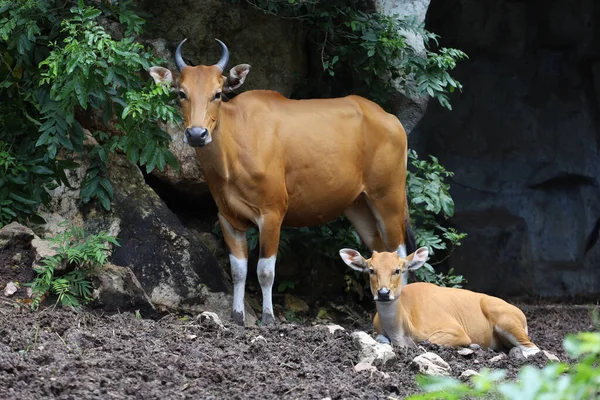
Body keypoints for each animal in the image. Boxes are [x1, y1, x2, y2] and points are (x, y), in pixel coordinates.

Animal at [150, 39, 412, 324]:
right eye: (181, 93)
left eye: (217, 93)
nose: (197, 134)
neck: (235, 150)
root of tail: (392, 120)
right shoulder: (228, 217)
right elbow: (238, 270)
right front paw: (237, 315)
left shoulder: (272, 213)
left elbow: (265, 270)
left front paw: (268, 316)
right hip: (358, 206)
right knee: (379, 252)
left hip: (388, 199)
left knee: (400, 255)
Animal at [340, 247, 540, 356]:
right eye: (371, 270)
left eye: (398, 270)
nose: (383, 293)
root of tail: (522, 315)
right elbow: (380, 338)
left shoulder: (456, 330)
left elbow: (427, 341)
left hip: (505, 318)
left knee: (534, 348)